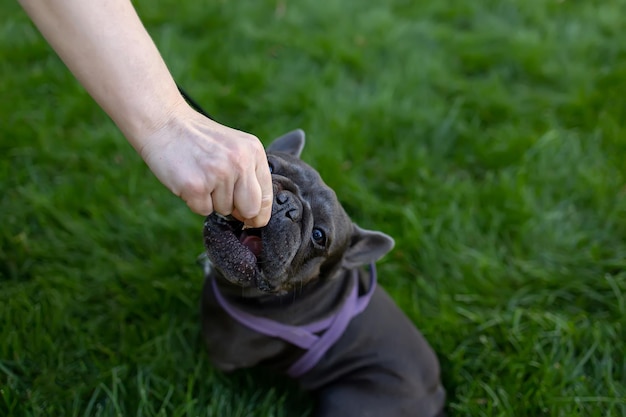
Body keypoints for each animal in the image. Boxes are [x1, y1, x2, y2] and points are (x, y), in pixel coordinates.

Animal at [200, 130, 444, 416]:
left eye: (319, 236)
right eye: (268, 167)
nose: (287, 204)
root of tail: (436, 395)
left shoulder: (224, 354)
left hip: (346, 400)